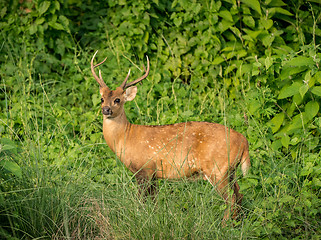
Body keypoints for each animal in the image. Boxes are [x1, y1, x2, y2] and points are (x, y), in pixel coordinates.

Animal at [90, 51, 250, 225]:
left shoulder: (144, 169)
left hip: (217, 169)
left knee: (231, 199)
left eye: (117, 100)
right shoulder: (154, 174)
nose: (106, 109)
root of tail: (244, 141)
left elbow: (140, 201)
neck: (126, 137)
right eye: (102, 99)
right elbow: (153, 201)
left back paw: (223, 225)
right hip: (230, 170)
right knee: (239, 194)